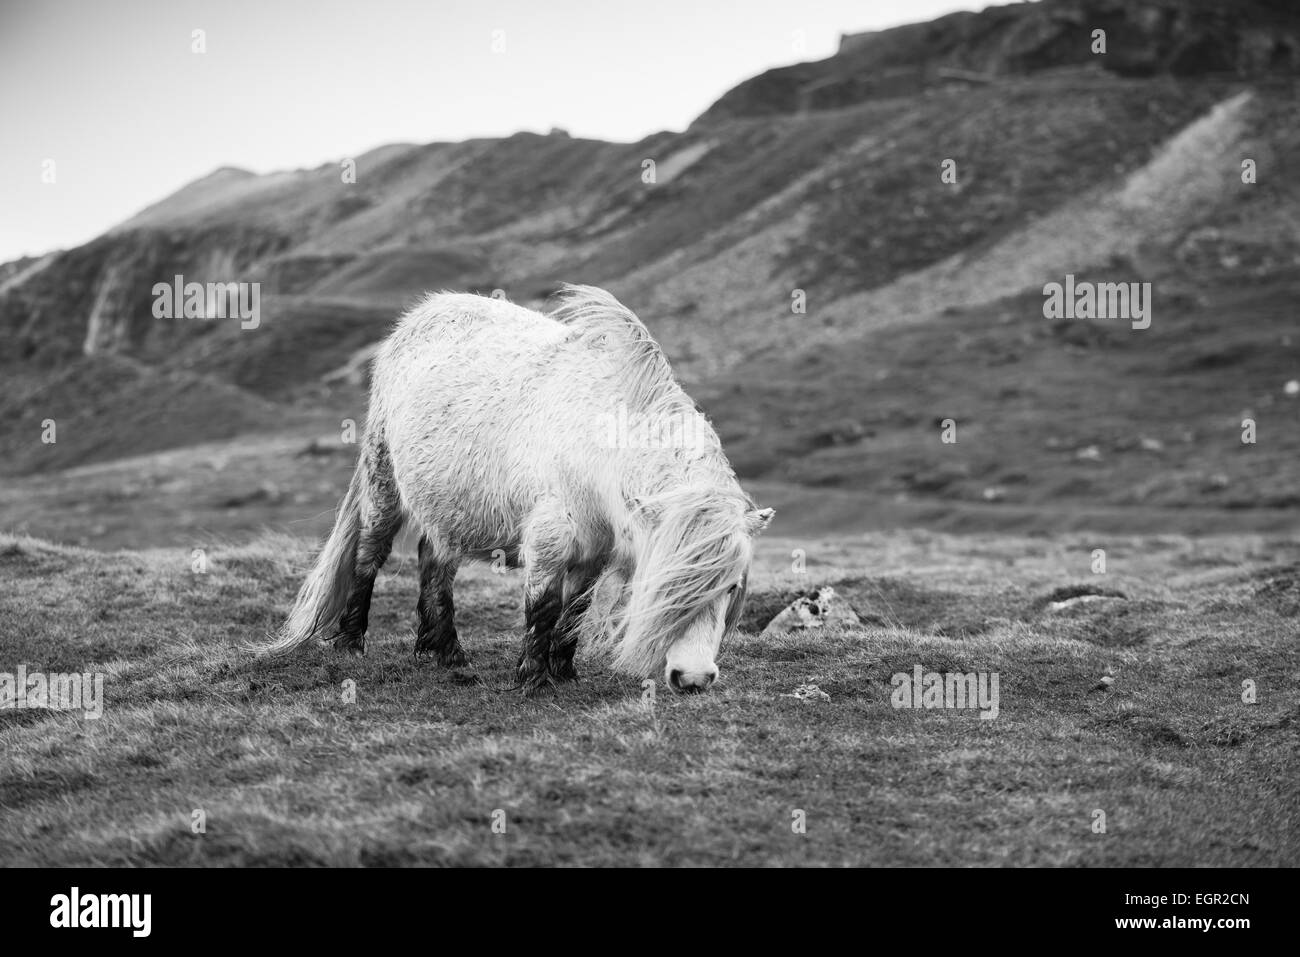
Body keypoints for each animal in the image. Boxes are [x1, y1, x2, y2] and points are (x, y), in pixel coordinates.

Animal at [256, 284, 773, 694]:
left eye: (732, 588)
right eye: (660, 584)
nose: (693, 678)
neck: (600, 438)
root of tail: (422, 315)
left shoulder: (596, 547)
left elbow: (575, 609)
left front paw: (564, 671)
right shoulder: (551, 535)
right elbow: (542, 604)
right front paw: (533, 679)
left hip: (450, 503)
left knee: (434, 560)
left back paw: (446, 653)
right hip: (383, 480)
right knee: (370, 552)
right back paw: (351, 643)